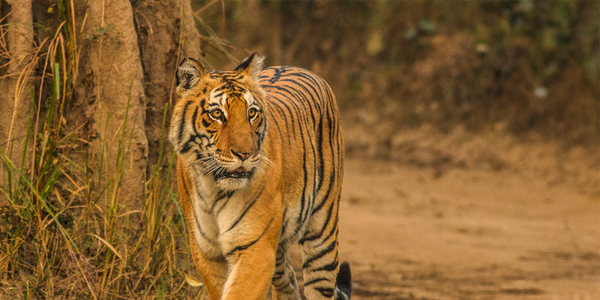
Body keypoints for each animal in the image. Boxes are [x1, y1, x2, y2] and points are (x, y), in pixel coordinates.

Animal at [168, 54, 352, 300]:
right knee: (287, 282)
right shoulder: (206, 251)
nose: (245, 154)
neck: (214, 188)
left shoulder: (256, 246)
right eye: (217, 114)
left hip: (323, 231)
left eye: (251, 113)